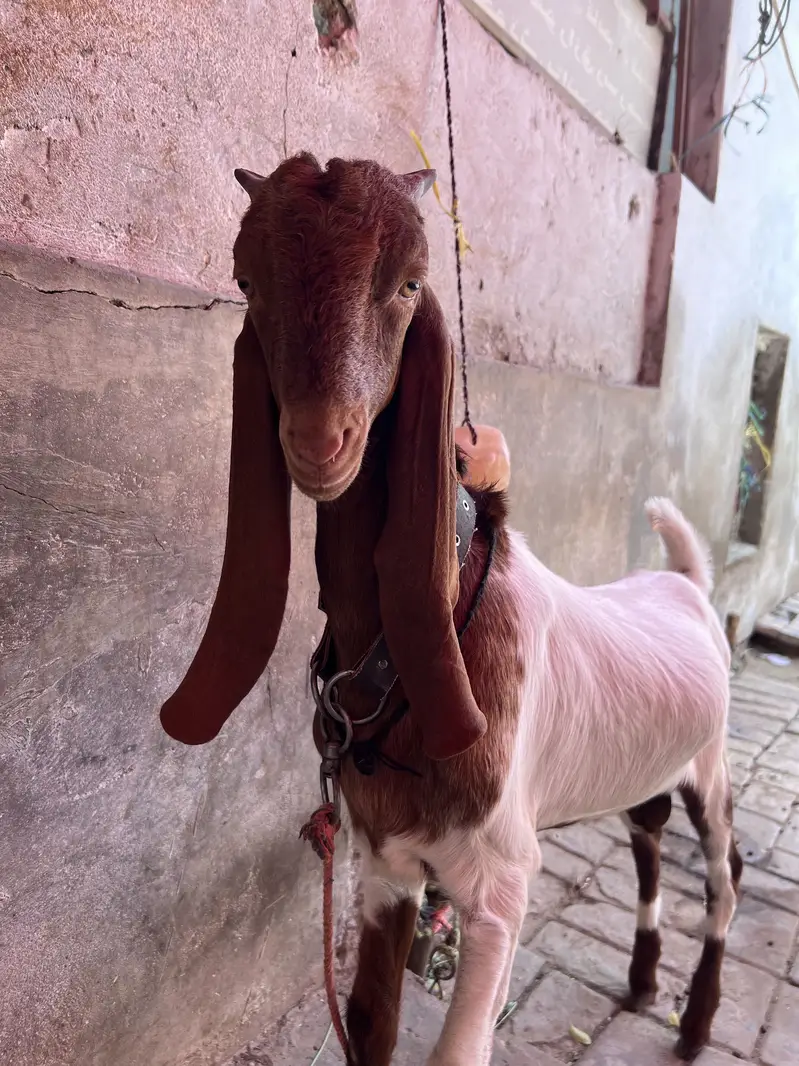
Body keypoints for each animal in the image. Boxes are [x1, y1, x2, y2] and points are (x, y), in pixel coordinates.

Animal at [160, 154, 740, 1066]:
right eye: (246, 279)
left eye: (409, 282)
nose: (319, 443)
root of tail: (683, 579)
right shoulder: (386, 867)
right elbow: (369, 1025)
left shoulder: (501, 887)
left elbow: (455, 1049)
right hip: (651, 761)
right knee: (646, 834)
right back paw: (645, 982)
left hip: (711, 763)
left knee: (722, 874)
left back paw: (694, 1024)